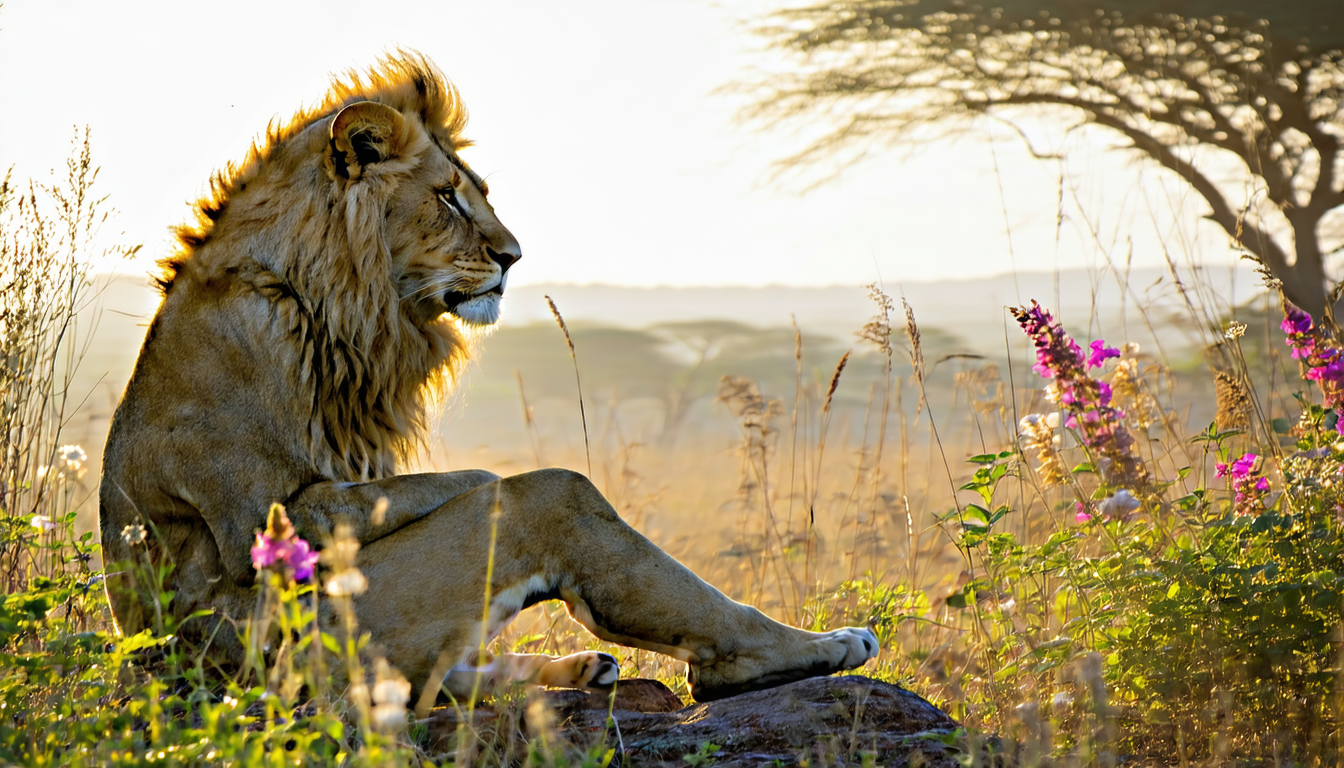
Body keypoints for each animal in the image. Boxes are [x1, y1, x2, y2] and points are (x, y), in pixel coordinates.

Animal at [98, 51, 878, 703]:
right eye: (446, 197)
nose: (513, 256)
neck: (324, 293)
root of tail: (173, 678)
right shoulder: (270, 521)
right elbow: (475, 479)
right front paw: (486, 482)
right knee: (551, 495)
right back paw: (806, 649)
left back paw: (581, 667)